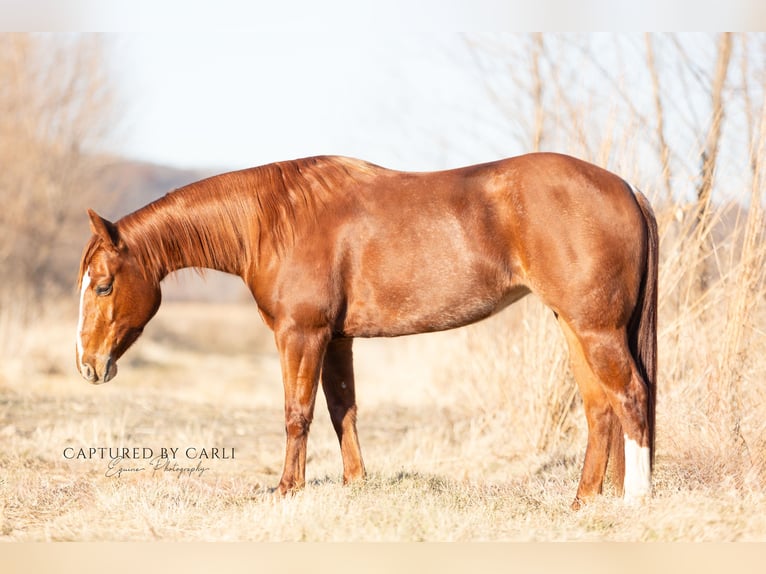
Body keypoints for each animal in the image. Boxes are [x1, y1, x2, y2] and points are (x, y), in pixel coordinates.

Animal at [78, 153, 660, 508]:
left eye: (103, 286)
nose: (89, 366)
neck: (277, 221)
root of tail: (627, 189)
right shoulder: (336, 338)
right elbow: (343, 410)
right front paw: (354, 484)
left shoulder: (302, 334)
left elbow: (297, 413)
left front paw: (287, 490)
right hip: (576, 327)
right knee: (600, 406)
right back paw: (584, 501)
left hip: (597, 329)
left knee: (631, 395)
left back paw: (635, 498)